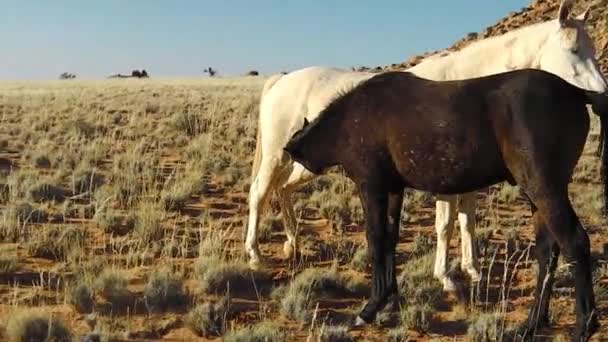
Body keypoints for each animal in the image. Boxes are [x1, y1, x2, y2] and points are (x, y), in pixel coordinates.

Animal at [245, 0, 604, 290]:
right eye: (574, 50)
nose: (601, 94)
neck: (469, 88)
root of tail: (283, 79)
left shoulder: (467, 181)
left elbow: (467, 221)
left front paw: (472, 270)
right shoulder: (444, 181)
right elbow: (445, 224)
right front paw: (445, 277)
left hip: (305, 163)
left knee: (284, 190)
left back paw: (292, 244)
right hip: (277, 156)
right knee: (260, 193)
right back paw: (255, 255)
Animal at [284, 69, 608, 340]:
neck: (349, 119)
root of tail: (574, 90)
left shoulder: (371, 187)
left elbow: (376, 240)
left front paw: (370, 309)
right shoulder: (393, 189)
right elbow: (390, 240)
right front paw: (391, 299)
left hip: (544, 189)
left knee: (574, 242)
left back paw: (584, 326)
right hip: (536, 195)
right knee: (547, 251)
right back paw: (531, 324)